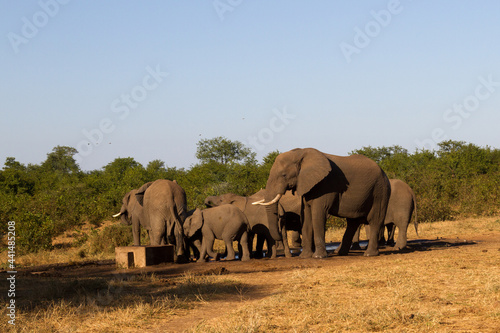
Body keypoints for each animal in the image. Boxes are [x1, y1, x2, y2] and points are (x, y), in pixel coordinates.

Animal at [254, 147, 390, 258]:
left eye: (284, 175)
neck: (301, 153)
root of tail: (384, 172)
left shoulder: (325, 185)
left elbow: (317, 214)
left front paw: (318, 257)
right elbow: (306, 216)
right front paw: (304, 257)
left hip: (380, 191)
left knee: (375, 219)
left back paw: (369, 254)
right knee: (353, 222)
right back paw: (340, 253)